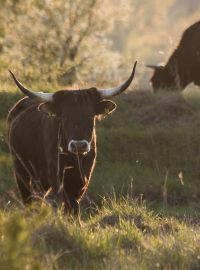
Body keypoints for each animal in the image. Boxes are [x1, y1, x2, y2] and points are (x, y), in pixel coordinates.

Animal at [7, 62, 137, 220]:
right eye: (65, 117)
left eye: (90, 116)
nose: (78, 145)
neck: (75, 160)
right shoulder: (56, 176)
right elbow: (67, 201)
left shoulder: (83, 178)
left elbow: (74, 204)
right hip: (22, 171)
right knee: (28, 199)